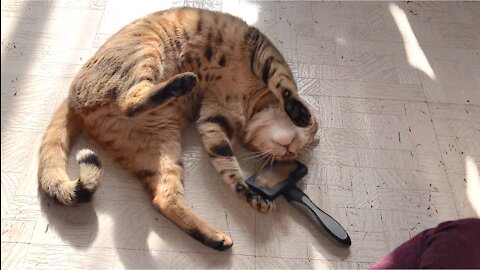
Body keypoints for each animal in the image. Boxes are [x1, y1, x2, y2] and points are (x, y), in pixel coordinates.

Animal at [38, 6, 318, 251]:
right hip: (146, 53)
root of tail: (72, 99)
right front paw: (299, 111)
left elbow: (227, 166)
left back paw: (215, 238)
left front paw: (251, 195)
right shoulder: (262, 53)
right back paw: (181, 83)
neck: (247, 105)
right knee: (129, 100)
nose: (288, 152)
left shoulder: (212, 119)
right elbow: (283, 84)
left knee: (164, 198)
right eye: (299, 146)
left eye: (293, 156)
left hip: (162, 143)